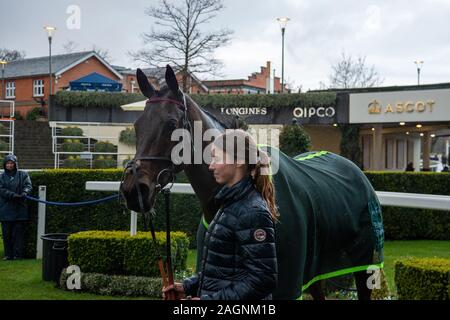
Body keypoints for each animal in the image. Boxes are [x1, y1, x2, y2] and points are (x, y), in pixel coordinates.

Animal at [119, 65, 384, 300]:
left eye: (172, 125)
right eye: (137, 125)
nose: (134, 189)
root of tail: (355, 170)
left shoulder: (284, 286)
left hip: (362, 265)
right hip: (315, 269)